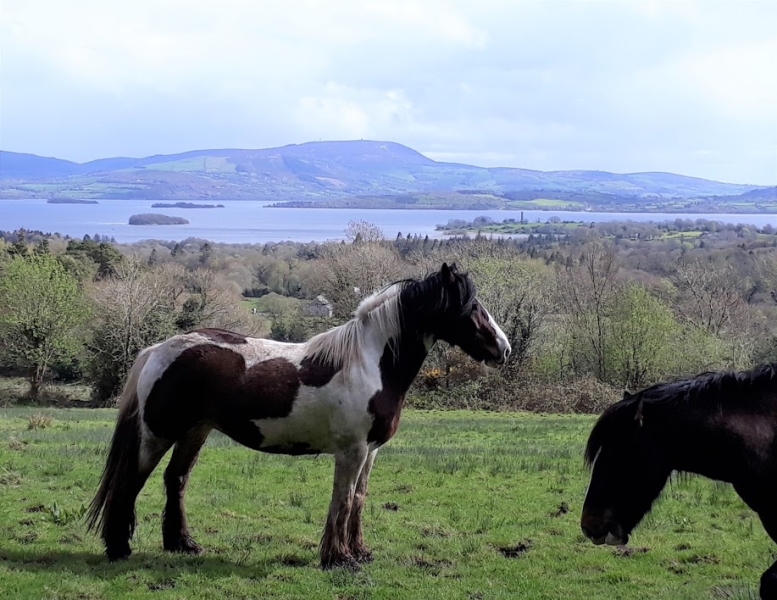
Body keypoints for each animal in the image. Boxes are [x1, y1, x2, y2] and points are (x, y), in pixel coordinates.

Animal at [88, 262, 510, 568]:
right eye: (471, 307)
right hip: (157, 433)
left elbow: (359, 499)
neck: (367, 364)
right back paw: (118, 548)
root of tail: (159, 349)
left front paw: (360, 552)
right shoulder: (352, 451)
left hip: (196, 430)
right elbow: (342, 500)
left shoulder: (371, 452)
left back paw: (183, 544)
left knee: (175, 480)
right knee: (130, 482)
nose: (503, 349)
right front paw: (338, 558)